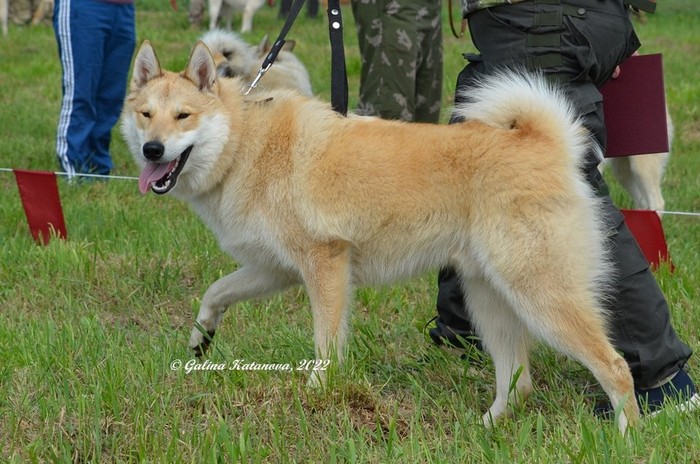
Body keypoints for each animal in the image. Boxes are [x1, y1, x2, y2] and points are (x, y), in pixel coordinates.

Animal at [121, 41, 639, 433]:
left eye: (183, 116)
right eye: (146, 114)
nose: (153, 150)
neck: (246, 142)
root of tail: (541, 142)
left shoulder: (325, 264)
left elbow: (326, 344)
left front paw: (319, 394)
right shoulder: (275, 270)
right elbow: (215, 292)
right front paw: (201, 339)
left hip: (540, 295)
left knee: (616, 367)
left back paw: (626, 435)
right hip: (489, 300)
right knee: (519, 380)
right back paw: (485, 428)